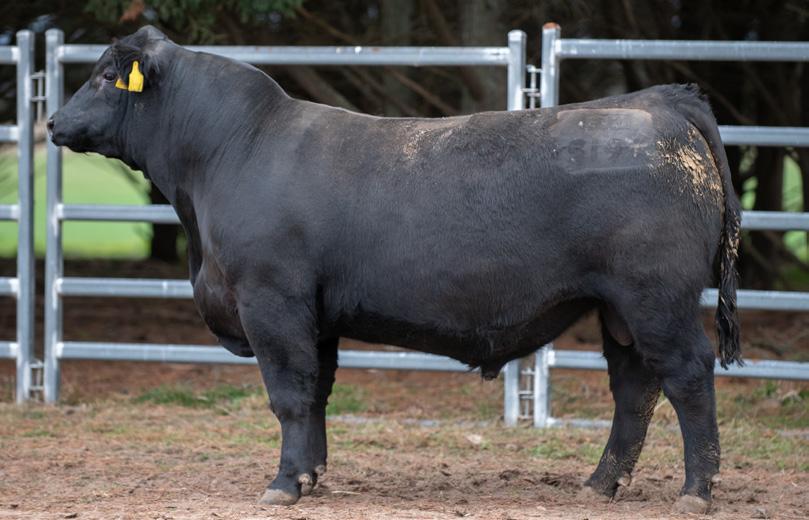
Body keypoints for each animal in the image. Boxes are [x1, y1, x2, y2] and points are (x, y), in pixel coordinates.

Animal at [48, 26, 742, 514]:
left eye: (107, 76)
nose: (53, 121)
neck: (231, 152)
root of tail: (659, 102)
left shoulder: (271, 300)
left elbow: (289, 395)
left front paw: (282, 485)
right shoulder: (316, 315)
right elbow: (318, 392)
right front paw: (312, 476)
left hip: (657, 299)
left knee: (687, 375)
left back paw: (696, 491)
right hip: (619, 311)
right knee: (634, 390)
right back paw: (599, 484)